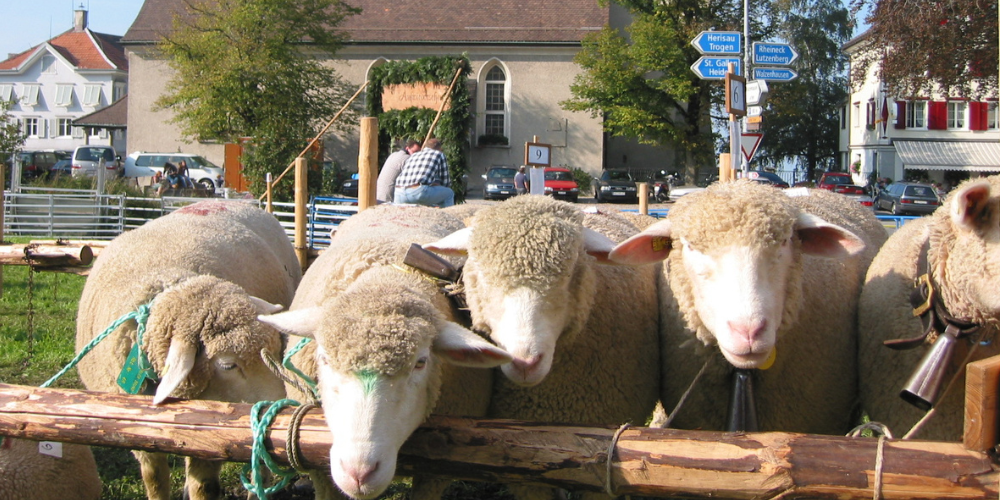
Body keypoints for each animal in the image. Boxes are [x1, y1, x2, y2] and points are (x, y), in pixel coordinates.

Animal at [75, 199, 300, 500]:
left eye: (276, 350)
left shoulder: (215, 424)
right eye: (227, 365)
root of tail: (239, 201)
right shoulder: (136, 426)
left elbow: (203, 486)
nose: (284, 408)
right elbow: (154, 478)